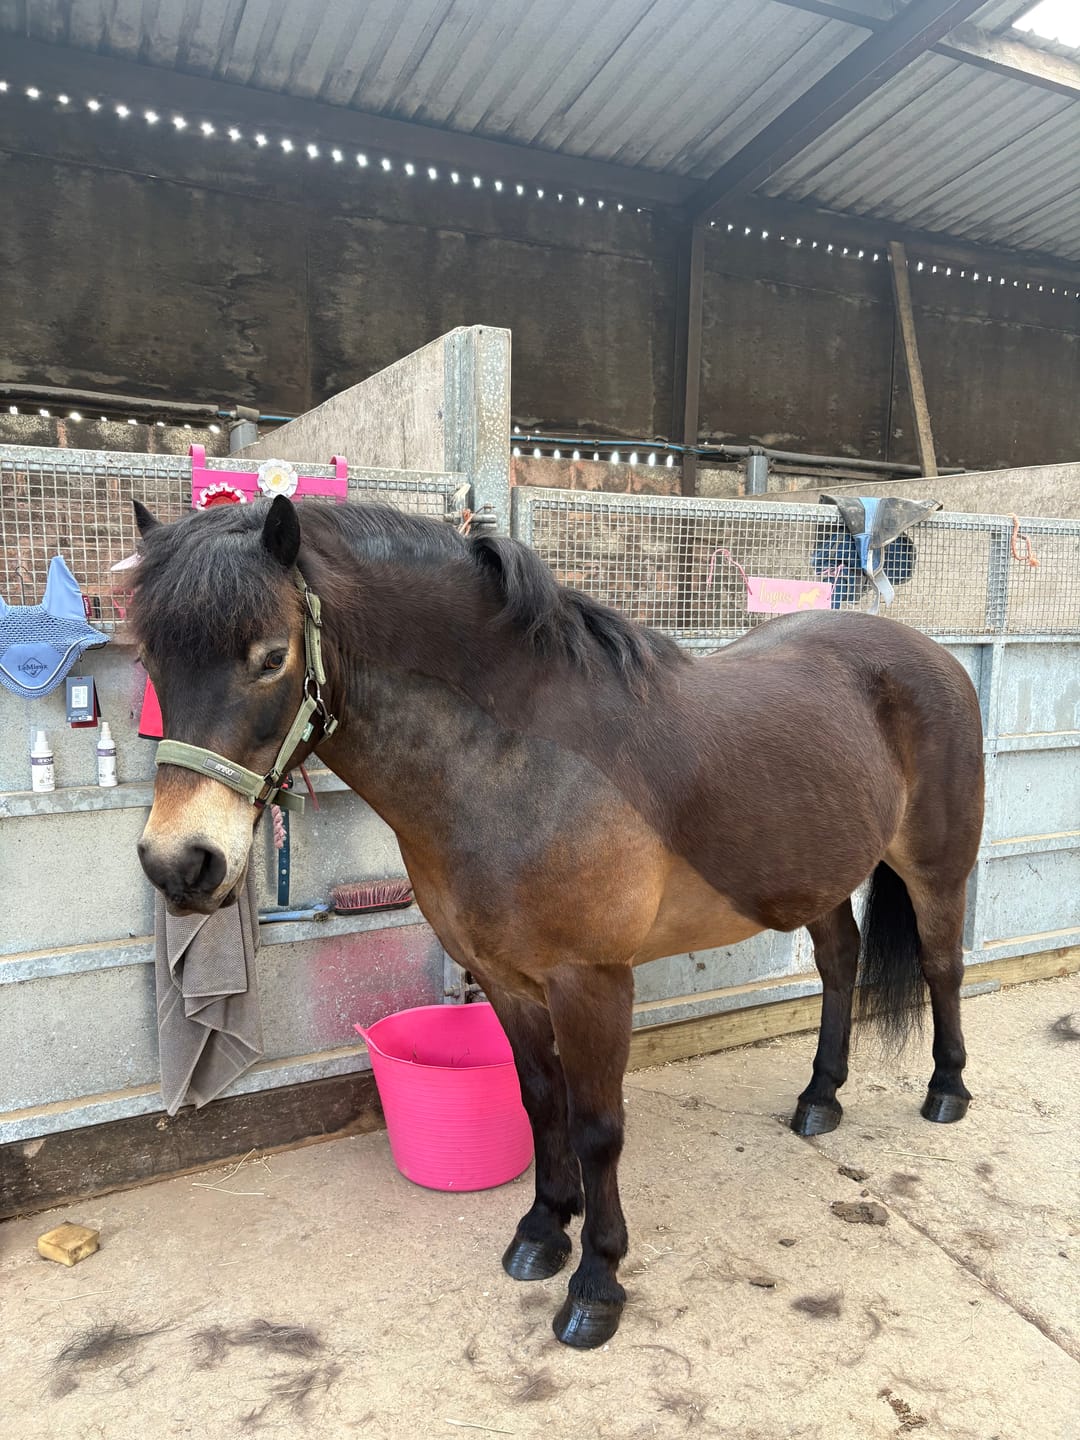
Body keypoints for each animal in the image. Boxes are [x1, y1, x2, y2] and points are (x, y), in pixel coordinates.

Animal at [130, 493, 984, 1349]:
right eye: (151, 664)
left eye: (271, 657)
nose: (181, 863)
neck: (516, 760)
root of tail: (932, 656)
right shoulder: (506, 979)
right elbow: (542, 1103)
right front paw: (543, 1231)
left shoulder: (592, 981)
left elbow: (598, 1124)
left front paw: (596, 1283)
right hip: (818, 877)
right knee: (840, 962)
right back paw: (820, 1099)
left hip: (937, 871)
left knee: (942, 967)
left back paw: (946, 1090)